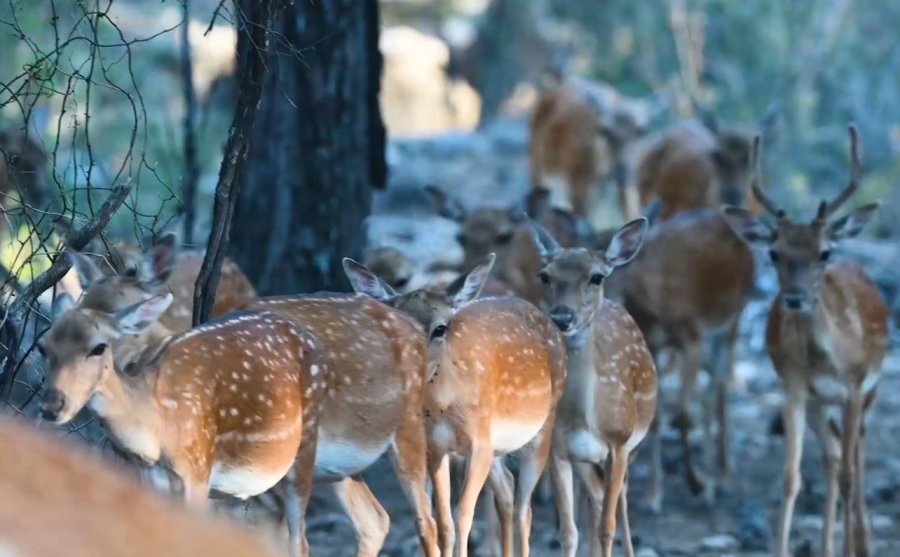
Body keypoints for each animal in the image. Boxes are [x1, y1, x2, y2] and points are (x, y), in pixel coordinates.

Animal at [39, 292, 326, 556]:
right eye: (43, 346)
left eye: (98, 347)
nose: (52, 406)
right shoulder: (149, 476)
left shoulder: (197, 470)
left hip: (306, 447)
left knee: (300, 540)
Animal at [342, 255, 568, 556]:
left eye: (440, 328)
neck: (445, 408)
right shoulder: (436, 448)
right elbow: (444, 522)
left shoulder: (479, 443)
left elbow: (463, 515)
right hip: (496, 447)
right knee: (507, 489)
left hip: (543, 427)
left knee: (525, 509)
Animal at [528, 217, 660, 556]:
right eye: (544, 275)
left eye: (596, 277)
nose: (563, 316)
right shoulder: (559, 451)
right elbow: (569, 531)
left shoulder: (619, 443)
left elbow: (607, 527)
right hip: (586, 460)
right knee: (594, 501)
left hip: (631, 445)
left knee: (619, 498)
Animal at [720, 125, 888, 556]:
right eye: (774, 253)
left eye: (824, 252)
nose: (794, 298)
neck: (827, 359)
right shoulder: (794, 387)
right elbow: (790, 477)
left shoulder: (854, 388)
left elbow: (849, 476)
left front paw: (852, 547)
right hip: (817, 404)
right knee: (832, 455)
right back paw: (829, 544)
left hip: (869, 392)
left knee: (857, 455)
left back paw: (862, 541)